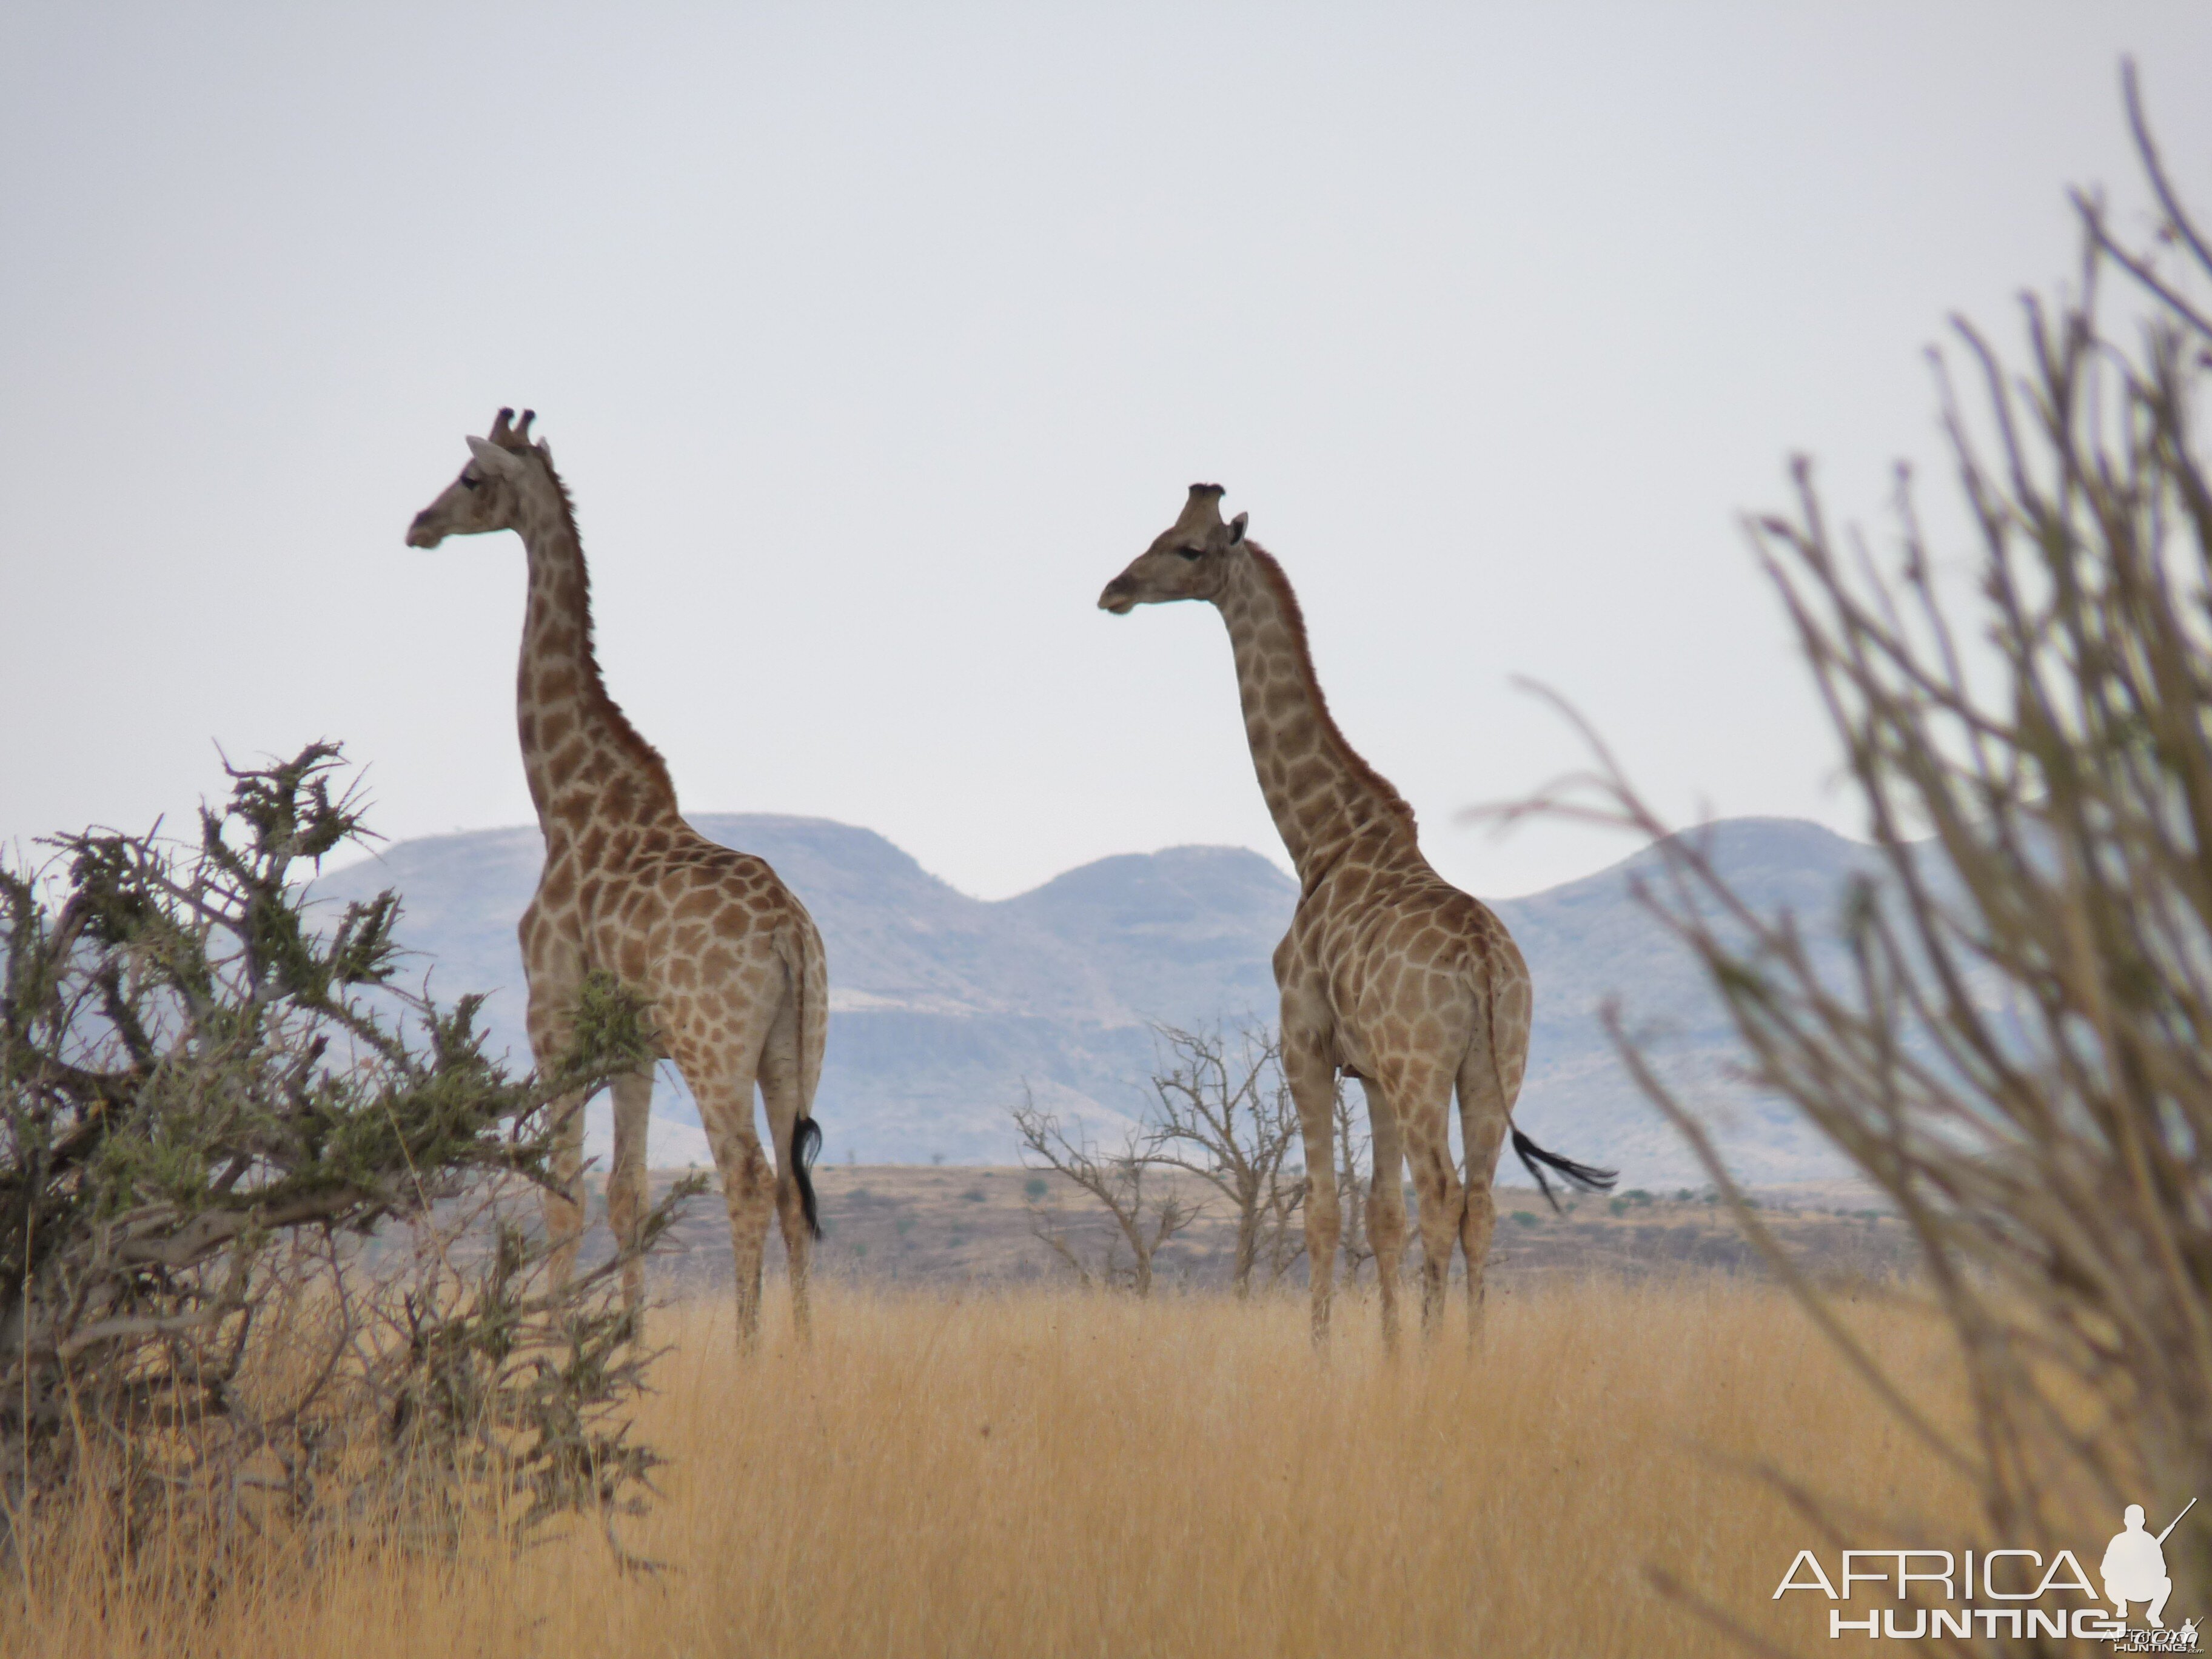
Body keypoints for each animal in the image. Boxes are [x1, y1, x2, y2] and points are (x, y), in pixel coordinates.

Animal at [402, 407, 827, 1353]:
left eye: (471, 478)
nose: (418, 526)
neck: (567, 802)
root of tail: (790, 933)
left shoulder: (554, 1017)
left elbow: (563, 1198)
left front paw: (549, 1351)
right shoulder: (634, 1046)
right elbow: (626, 1193)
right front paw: (624, 1347)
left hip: (714, 1045)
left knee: (746, 1178)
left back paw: (748, 1358)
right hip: (796, 1044)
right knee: (792, 1187)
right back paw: (801, 1354)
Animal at [1097, 486, 1619, 1344]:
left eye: (1187, 549)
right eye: (1161, 533)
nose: (1115, 590)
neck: (1321, 839)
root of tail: (1485, 963)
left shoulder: (1305, 1044)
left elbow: (1325, 1212)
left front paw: (1328, 1356)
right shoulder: (1370, 1070)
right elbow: (1380, 1216)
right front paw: (1391, 1355)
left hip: (1424, 1068)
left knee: (1443, 1192)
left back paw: (1446, 1354)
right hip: (1494, 1065)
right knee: (1479, 1204)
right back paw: (1472, 1355)